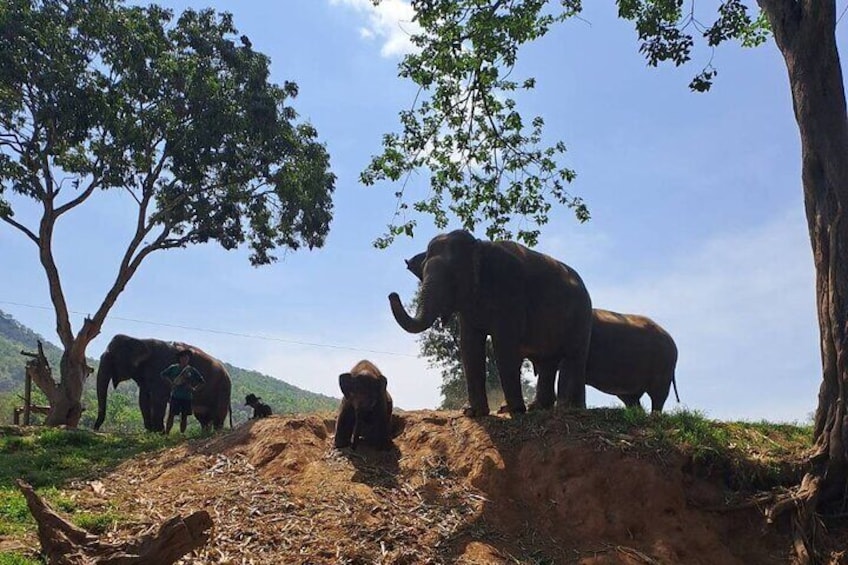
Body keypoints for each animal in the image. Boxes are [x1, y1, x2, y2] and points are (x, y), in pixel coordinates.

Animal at [94, 334, 232, 432]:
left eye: (111, 358)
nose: (95, 429)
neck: (140, 340)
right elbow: (143, 398)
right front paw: (150, 431)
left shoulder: (159, 366)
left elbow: (158, 398)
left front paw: (158, 431)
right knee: (203, 417)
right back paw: (205, 432)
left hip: (223, 389)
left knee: (218, 415)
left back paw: (216, 432)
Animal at [390, 229, 592, 414]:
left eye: (453, 277)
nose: (392, 294)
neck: (479, 246)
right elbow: (469, 344)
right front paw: (473, 412)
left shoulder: (509, 289)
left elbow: (503, 344)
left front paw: (515, 410)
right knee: (547, 362)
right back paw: (538, 408)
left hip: (582, 317)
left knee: (574, 357)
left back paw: (570, 408)